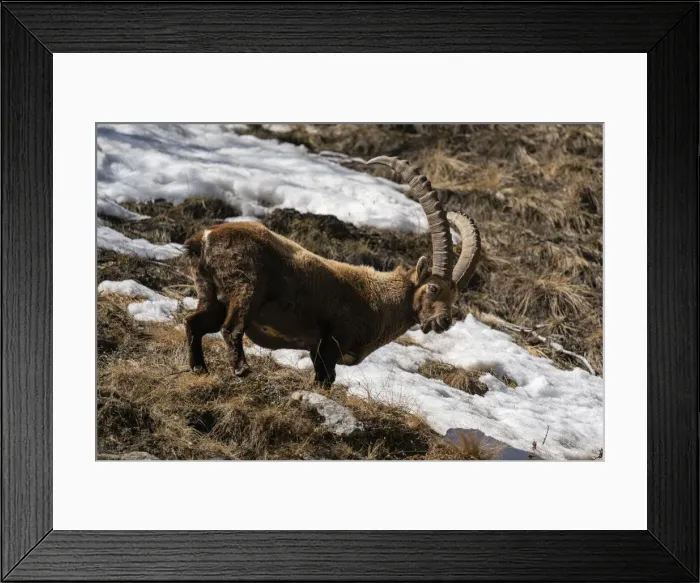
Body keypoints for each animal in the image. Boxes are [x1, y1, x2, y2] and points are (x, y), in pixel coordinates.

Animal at [183, 157, 481, 386]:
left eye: (454, 296)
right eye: (433, 287)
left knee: (194, 322)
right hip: (247, 287)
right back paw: (241, 369)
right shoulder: (327, 346)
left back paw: (199, 368)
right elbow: (324, 380)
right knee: (231, 327)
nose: (444, 322)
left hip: (210, 292)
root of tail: (205, 238)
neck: (382, 297)